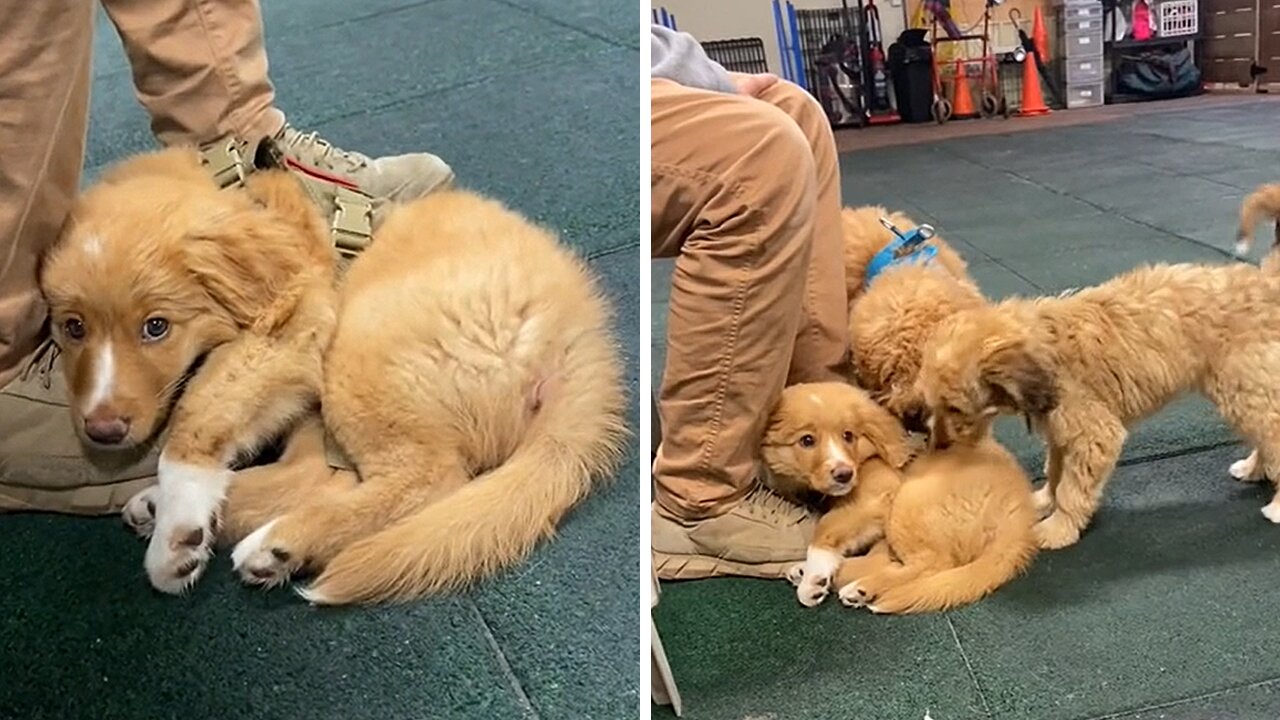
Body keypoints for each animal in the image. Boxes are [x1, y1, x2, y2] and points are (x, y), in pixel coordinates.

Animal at [35, 148, 624, 602]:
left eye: (156, 327)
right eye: (72, 327)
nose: (102, 431)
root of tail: (580, 340)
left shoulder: (290, 326)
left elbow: (197, 413)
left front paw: (177, 536)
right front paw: (179, 519)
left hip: (363, 340)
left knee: (427, 479)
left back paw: (277, 542)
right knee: (315, 474)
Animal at [757, 381, 1039, 609]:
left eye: (848, 435)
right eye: (806, 441)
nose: (844, 475)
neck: (866, 456)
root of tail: (1019, 518)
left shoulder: (880, 496)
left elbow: (826, 527)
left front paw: (815, 579)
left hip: (910, 501)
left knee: (931, 563)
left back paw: (859, 587)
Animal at [921, 245, 1280, 543]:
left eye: (955, 408)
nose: (938, 447)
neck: (1043, 346)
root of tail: (1265, 285)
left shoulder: (1094, 436)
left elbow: (1072, 489)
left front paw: (1057, 529)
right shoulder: (1060, 431)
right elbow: (1055, 472)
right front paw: (1044, 501)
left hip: (1243, 393)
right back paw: (1253, 469)